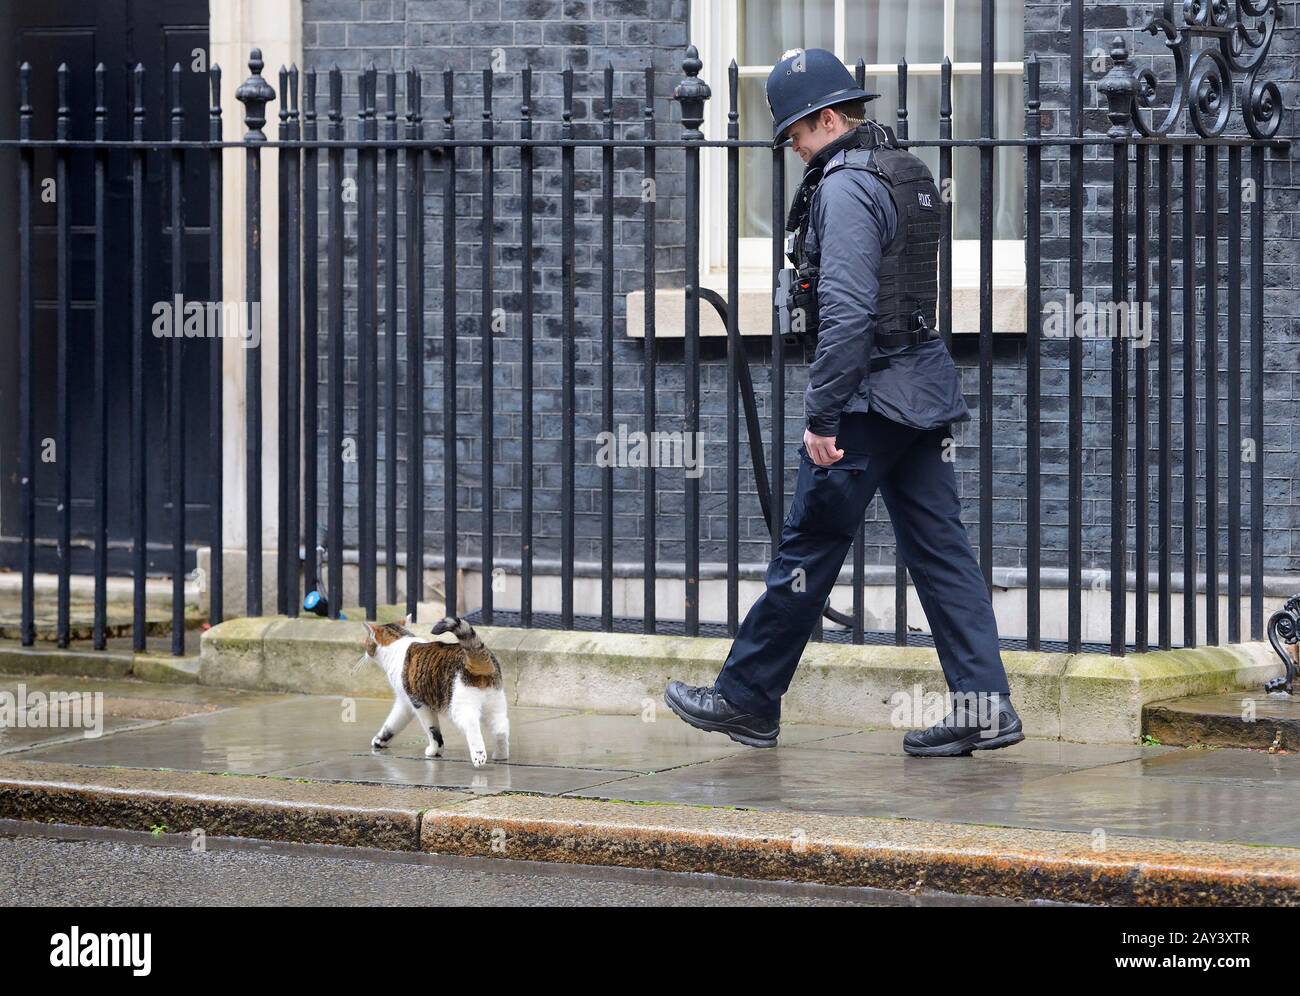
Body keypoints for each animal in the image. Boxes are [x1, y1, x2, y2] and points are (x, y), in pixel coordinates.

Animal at [366, 616, 512, 769]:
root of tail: (478, 657)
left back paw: (479, 756)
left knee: (472, 725)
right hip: (495, 703)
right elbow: (392, 723)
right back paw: (501, 755)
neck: (398, 642)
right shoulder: (405, 703)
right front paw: (379, 741)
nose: (365, 652)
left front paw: (435, 751)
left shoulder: (419, 704)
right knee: (501, 727)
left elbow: (432, 731)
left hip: (459, 707)